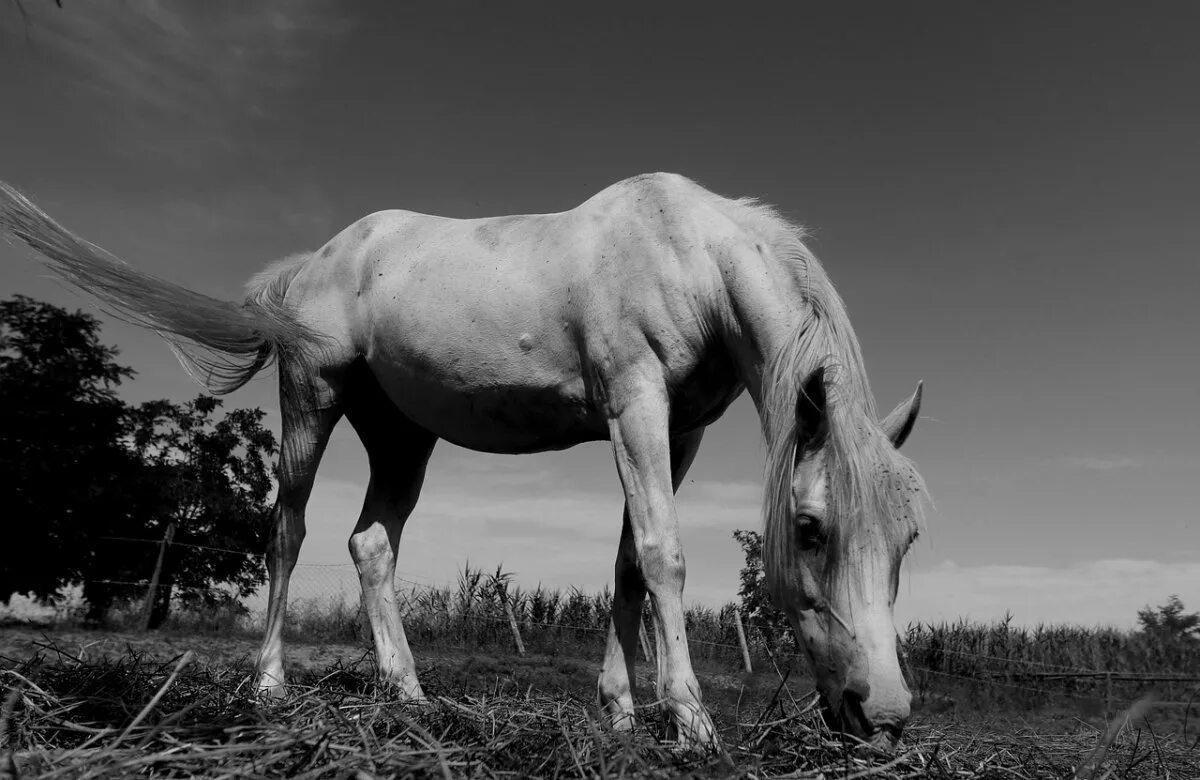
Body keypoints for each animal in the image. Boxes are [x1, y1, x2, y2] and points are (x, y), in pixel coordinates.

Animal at [0, 171, 926, 748]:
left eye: (909, 541)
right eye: (808, 528)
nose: (882, 715)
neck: (691, 256)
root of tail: (317, 261)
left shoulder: (680, 432)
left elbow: (628, 565)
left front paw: (622, 716)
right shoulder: (636, 406)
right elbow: (664, 557)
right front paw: (690, 726)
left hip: (402, 436)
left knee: (372, 544)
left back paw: (408, 695)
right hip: (311, 399)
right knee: (287, 533)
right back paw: (268, 685)